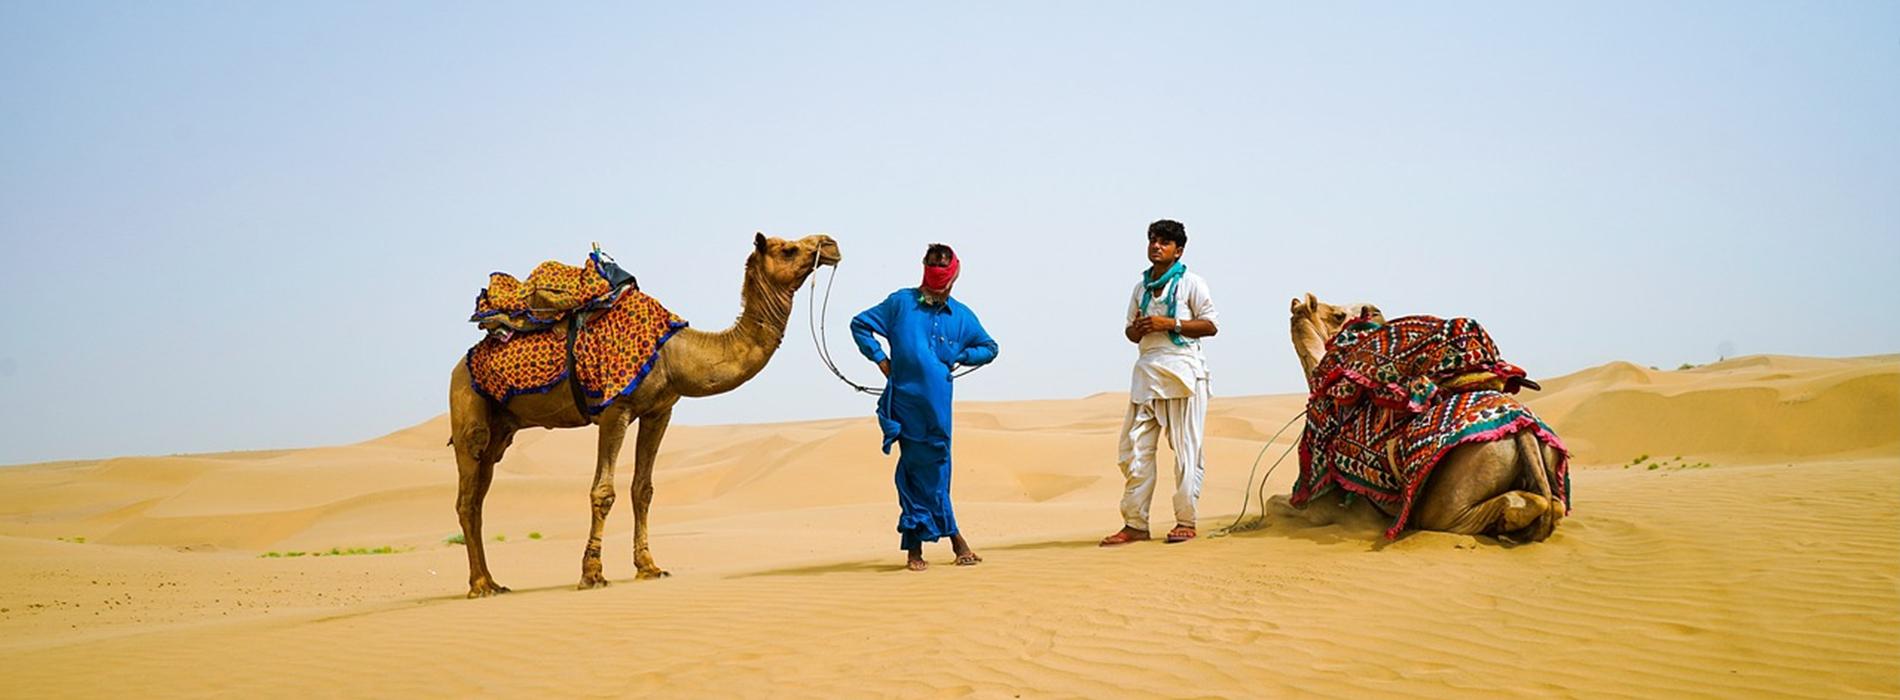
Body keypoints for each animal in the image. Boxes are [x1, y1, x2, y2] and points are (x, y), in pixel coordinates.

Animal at [448, 234, 843, 597]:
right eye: (788, 248)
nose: (831, 244)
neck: (675, 354)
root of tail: (459, 366)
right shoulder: (615, 409)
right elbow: (603, 491)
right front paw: (592, 575)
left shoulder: (659, 411)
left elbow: (643, 489)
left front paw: (649, 567)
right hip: (467, 407)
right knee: (467, 498)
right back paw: (480, 585)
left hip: (501, 430)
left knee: (479, 497)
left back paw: (493, 582)